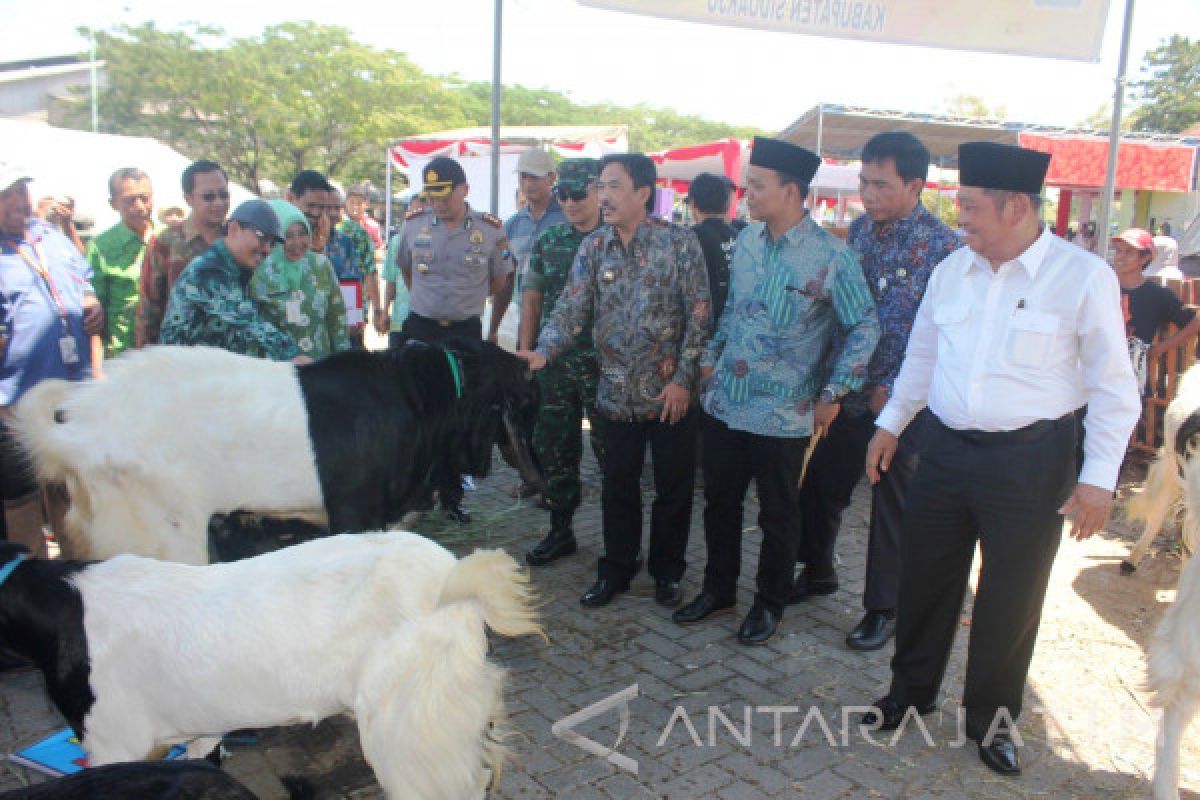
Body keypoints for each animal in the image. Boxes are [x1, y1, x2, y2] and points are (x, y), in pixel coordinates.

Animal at [10, 343, 540, 563]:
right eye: (514, 400)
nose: (528, 365)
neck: (417, 399)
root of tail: (80, 428)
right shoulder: (354, 513)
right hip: (165, 536)